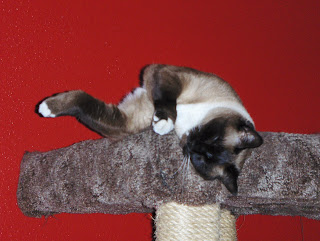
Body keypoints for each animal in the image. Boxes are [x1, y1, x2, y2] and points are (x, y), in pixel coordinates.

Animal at [37, 64, 262, 196]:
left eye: (201, 160)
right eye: (211, 136)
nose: (192, 146)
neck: (186, 124)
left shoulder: (126, 123)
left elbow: (87, 106)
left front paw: (49, 107)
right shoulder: (166, 75)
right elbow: (168, 104)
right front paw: (47, 107)